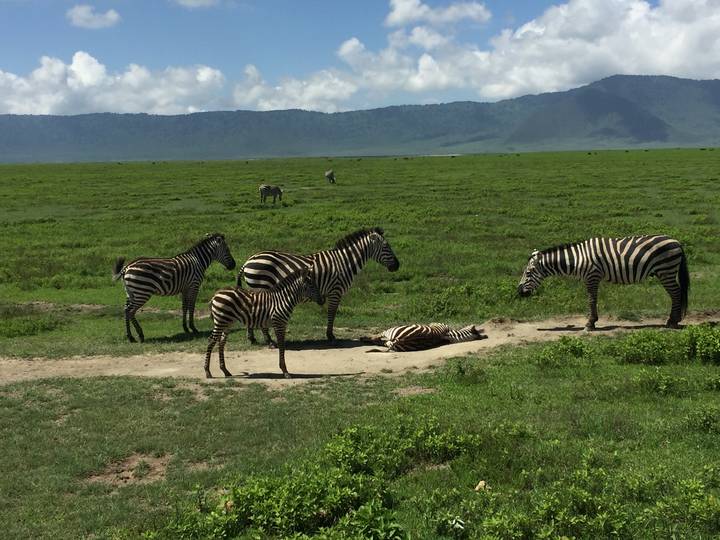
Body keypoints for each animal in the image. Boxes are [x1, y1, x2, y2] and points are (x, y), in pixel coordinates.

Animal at [237, 227, 400, 342]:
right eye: (386, 247)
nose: (397, 266)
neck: (344, 262)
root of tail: (248, 261)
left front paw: (330, 334)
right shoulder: (336, 290)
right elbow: (332, 312)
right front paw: (330, 336)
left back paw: (252, 338)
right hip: (260, 287)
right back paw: (269, 340)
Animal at [518, 235, 690, 329]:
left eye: (528, 273)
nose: (519, 292)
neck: (578, 259)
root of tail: (677, 241)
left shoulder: (592, 276)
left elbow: (591, 300)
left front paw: (590, 323)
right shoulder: (591, 278)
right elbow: (592, 300)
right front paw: (592, 321)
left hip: (666, 270)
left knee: (676, 293)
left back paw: (672, 321)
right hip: (666, 271)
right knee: (676, 293)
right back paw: (673, 320)